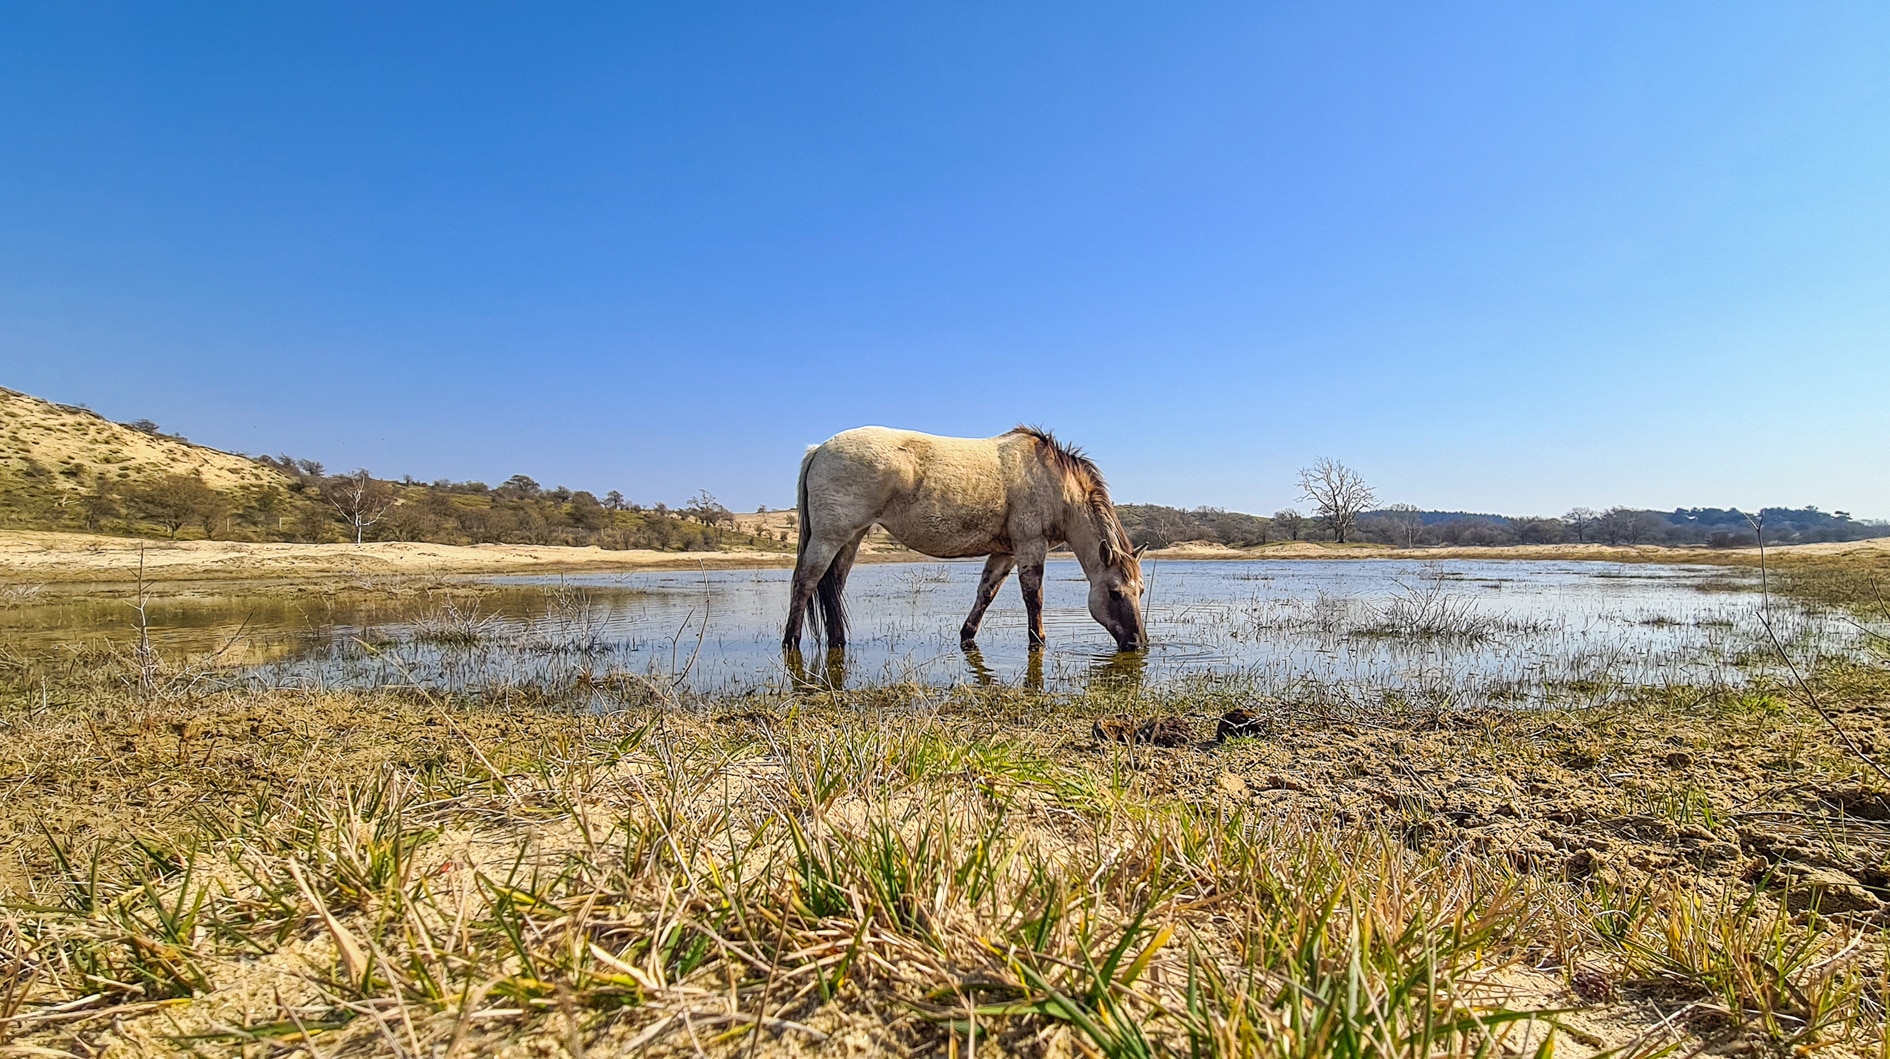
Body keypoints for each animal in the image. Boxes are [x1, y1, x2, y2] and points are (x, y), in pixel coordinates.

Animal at [782, 426, 1147, 654]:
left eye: (1140, 591)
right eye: (1115, 592)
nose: (1137, 643)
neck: (1054, 481)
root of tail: (819, 449)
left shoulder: (1006, 552)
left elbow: (986, 593)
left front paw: (967, 637)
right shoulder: (1030, 545)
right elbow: (1034, 598)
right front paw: (1038, 642)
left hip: (851, 539)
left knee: (833, 587)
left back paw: (838, 642)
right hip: (830, 537)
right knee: (805, 581)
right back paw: (791, 641)